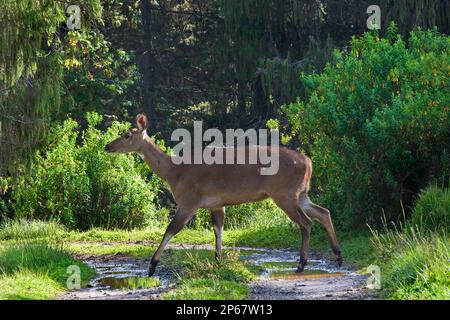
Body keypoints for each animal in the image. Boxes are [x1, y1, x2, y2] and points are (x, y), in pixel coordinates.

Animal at [105, 114, 342, 276]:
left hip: (284, 192)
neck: (174, 172)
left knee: (306, 222)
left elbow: (170, 229)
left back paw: (302, 264)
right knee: (323, 212)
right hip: (300, 192)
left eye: (126, 135)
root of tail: (308, 162)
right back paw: (338, 256)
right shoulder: (216, 203)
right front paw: (218, 261)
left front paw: (152, 266)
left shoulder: (189, 200)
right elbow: (218, 230)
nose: (108, 146)